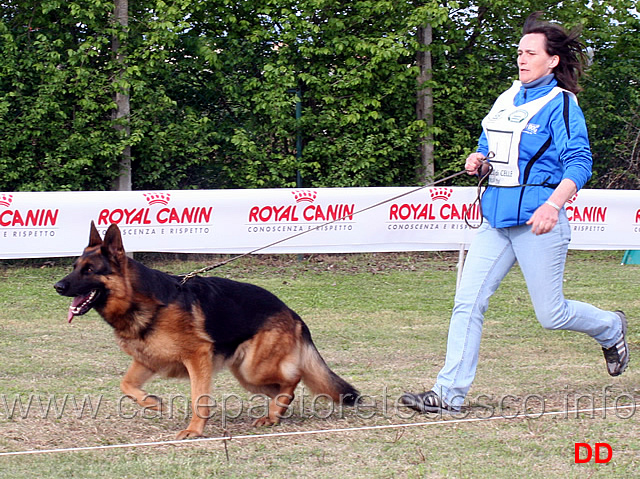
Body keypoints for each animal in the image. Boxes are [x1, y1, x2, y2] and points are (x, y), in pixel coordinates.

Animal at [53, 223, 360, 440]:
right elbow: (126, 385)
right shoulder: (147, 360)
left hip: (253, 369)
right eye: (75, 267)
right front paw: (153, 403)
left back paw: (274, 413)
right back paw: (274, 415)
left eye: (89, 270)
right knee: (284, 388)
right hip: (248, 375)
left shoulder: (197, 358)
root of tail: (291, 312)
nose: (57, 286)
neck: (143, 301)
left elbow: (198, 398)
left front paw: (194, 430)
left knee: (293, 379)